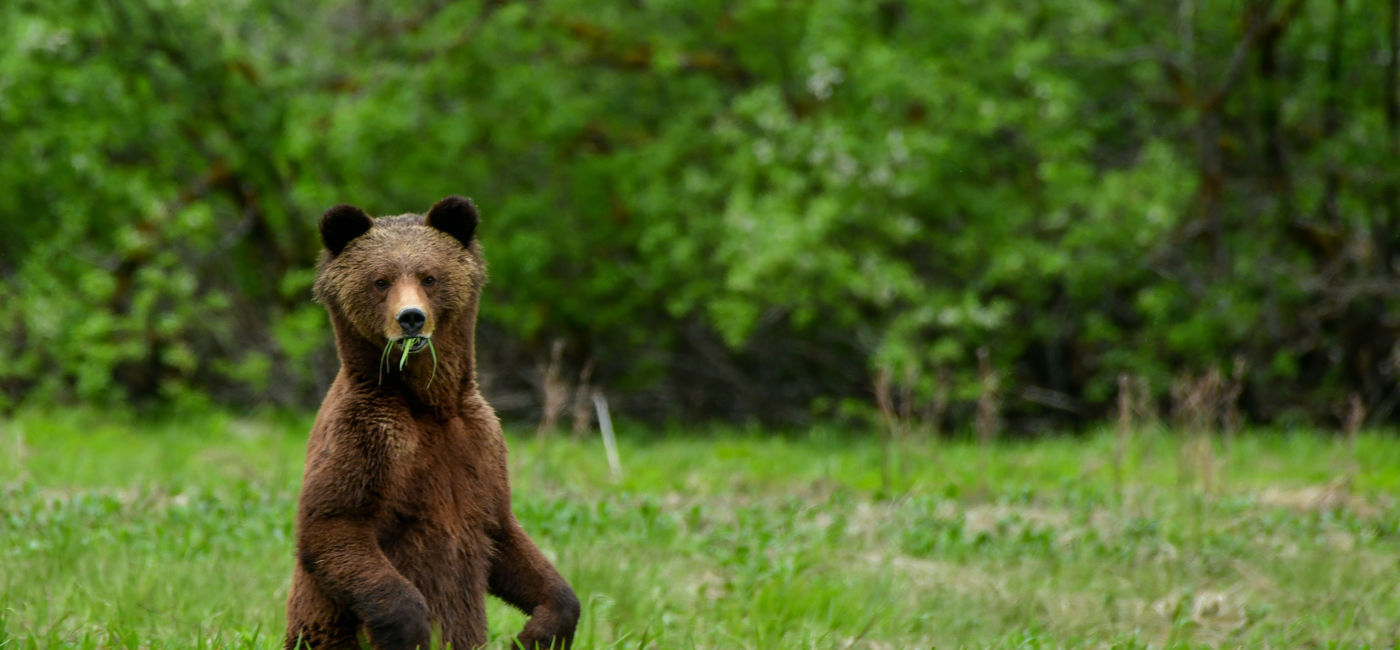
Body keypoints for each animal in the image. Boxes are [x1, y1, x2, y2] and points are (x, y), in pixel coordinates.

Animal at [284, 196, 579, 650]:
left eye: (429, 277)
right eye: (381, 280)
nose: (411, 318)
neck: (427, 404)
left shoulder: (481, 443)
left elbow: (505, 536)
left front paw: (536, 631)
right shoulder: (368, 436)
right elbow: (333, 525)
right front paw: (409, 626)